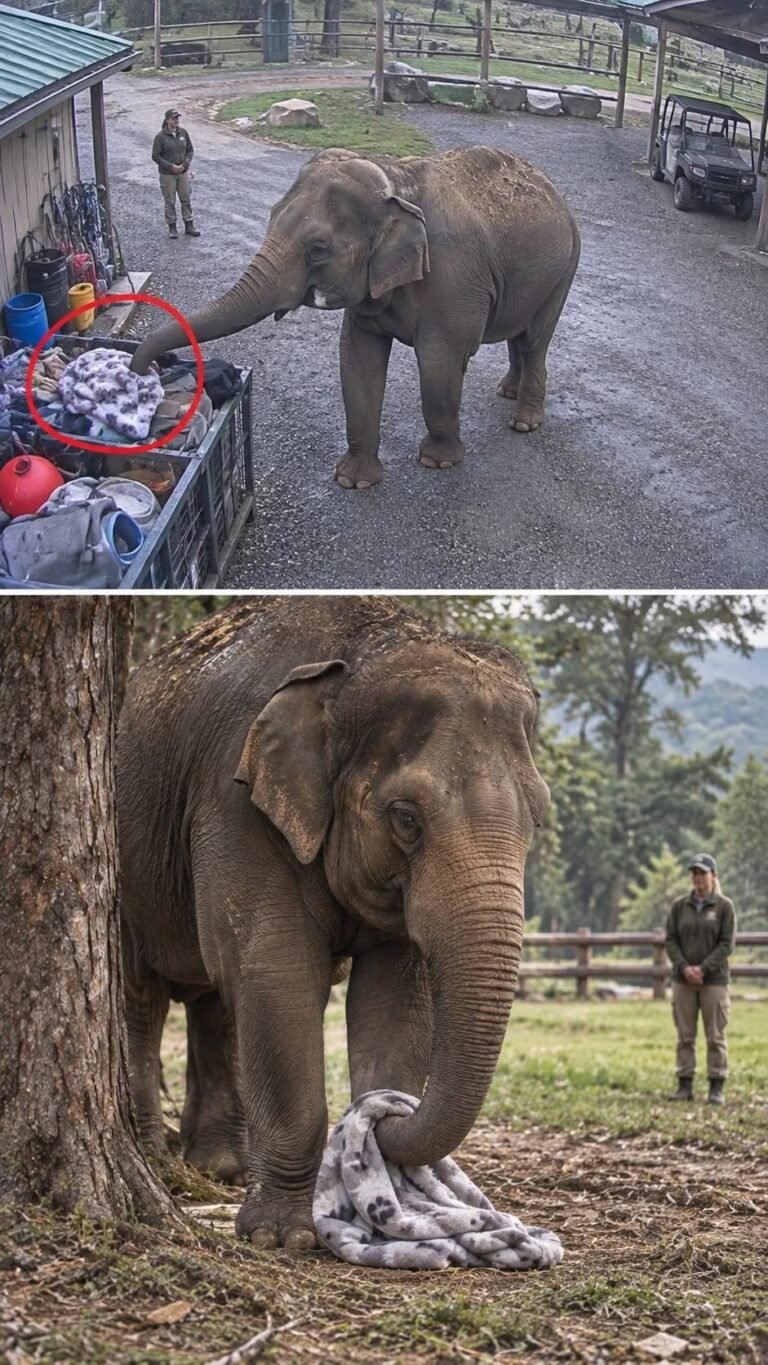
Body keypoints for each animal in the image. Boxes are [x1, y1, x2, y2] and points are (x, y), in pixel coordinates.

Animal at [117, 596, 549, 1248]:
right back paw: (154, 1158)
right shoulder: (233, 801)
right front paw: (281, 1238)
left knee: (217, 1001)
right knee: (142, 994)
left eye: (538, 819)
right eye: (405, 818)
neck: (362, 651)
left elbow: (392, 997)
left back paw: (219, 1168)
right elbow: (279, 975)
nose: (390, 1111)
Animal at [130, 146, 580, 488]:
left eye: (318, 249)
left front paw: (438, 463)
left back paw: (524, 422)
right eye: (271, 215)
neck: (394, 178)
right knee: (519, 334)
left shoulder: (452, 280)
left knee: (535, 339)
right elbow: (357, 359)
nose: (147, 369)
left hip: (564, 269)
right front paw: (353, 481)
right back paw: (507, 391)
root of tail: (554, 190)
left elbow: (439, 364)